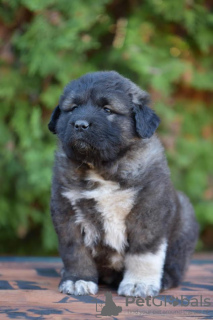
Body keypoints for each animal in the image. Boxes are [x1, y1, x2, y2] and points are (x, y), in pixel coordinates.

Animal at [47, 70, 198, 298]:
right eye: (73, 108)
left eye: (107, 109)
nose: (80, 124)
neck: (102, 167)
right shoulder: (68, 213)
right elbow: (75, 251)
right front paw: (77, 279)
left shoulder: (148, 212)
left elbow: (144, 253)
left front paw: (139, 283)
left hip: (185, 221)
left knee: (176, 264)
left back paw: (165, 279)